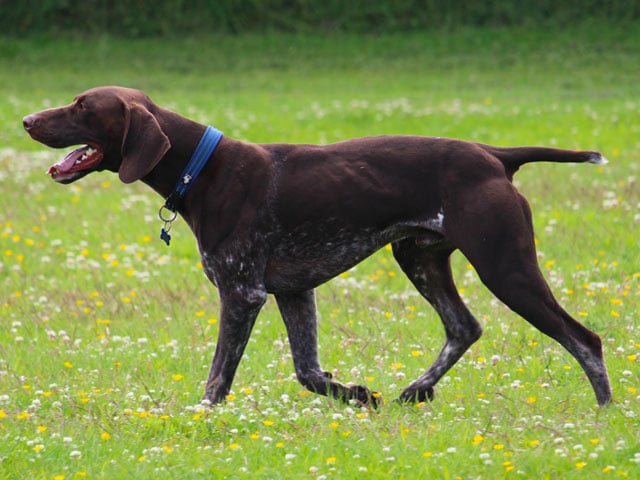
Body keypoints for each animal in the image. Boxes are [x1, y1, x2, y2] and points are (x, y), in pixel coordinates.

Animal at [22, 85, 612, 404]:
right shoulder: (293, 292)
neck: (201, 168)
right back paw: (414, 390)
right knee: (464, 327)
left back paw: (605, 417)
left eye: (82, 106)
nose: (26, 119)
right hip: (418, 258)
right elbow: (308, 374)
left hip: (505, 266)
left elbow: (217, 379)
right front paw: (360, 396)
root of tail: (494, 155)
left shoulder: (242, 294)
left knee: (585, 341)